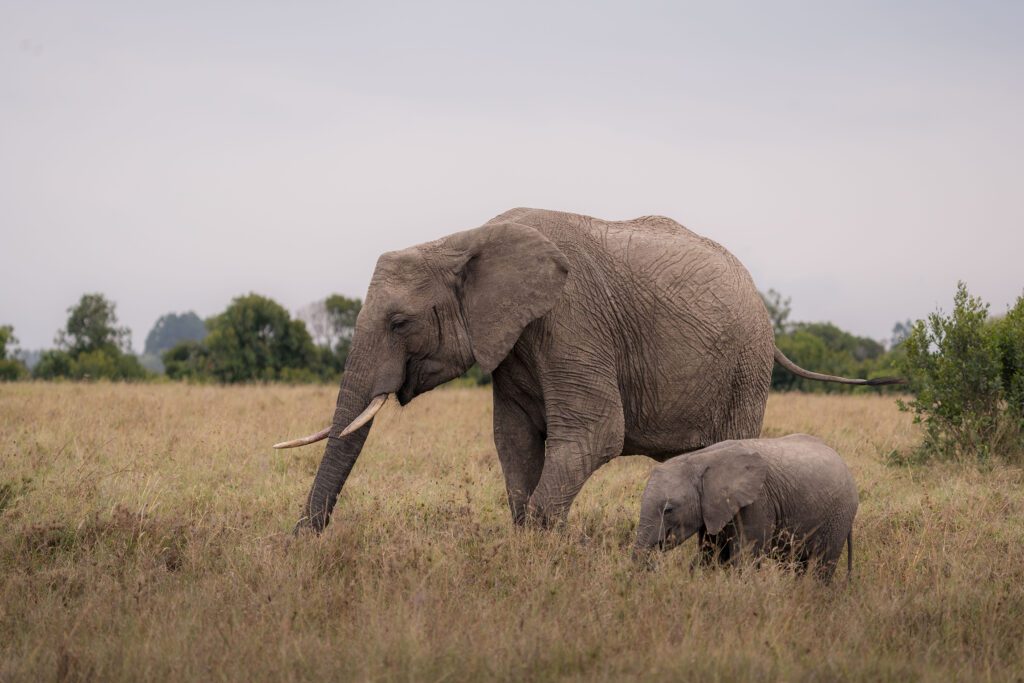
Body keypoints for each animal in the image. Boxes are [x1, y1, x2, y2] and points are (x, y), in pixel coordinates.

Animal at [275, 207, 897, 533]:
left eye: (400, 322)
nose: (305, 539)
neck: (465, 237)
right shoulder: (515, 340)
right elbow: (514, 440)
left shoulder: (572, 322)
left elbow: (594, 434)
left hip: (745, 368)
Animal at [633, 434, 858, 581]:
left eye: (669, 509)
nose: (654, 565)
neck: (700, 459)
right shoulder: (712, 508)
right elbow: (709, 554)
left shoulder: (757, 502)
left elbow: (744, 557)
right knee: (794, 563)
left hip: (839, 516)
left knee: (822, 564)